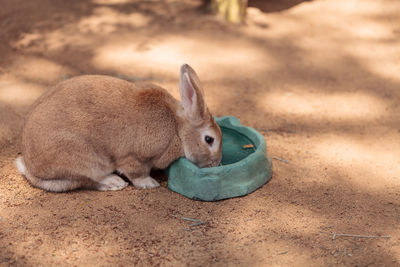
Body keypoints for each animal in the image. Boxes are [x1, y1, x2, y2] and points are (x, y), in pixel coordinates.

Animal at [15, 63, 222, 192]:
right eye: (209, 139)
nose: (217, 163)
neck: (177, 129)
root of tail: (30, 166)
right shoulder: (134, 157)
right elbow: (137, 173)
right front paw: (150, 184)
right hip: (84, 158)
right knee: (87, 179)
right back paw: (114, 183)